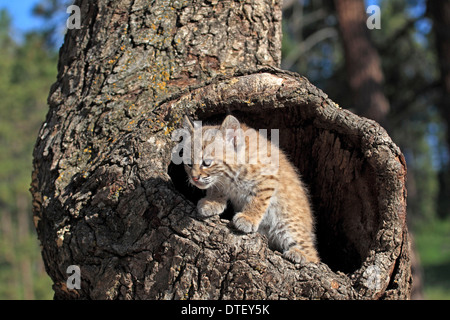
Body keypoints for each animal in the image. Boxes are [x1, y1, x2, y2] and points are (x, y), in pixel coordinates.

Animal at [181, 116, 318, 264]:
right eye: (189, 163)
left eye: (207, 163)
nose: (194, 178)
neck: (230, 176)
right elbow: (217, 189)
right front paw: (211, 202)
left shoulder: (268, 178)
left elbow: (258, 200)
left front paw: (248, 218)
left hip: (288, 223)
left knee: (313, 254)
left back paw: (300, 254)